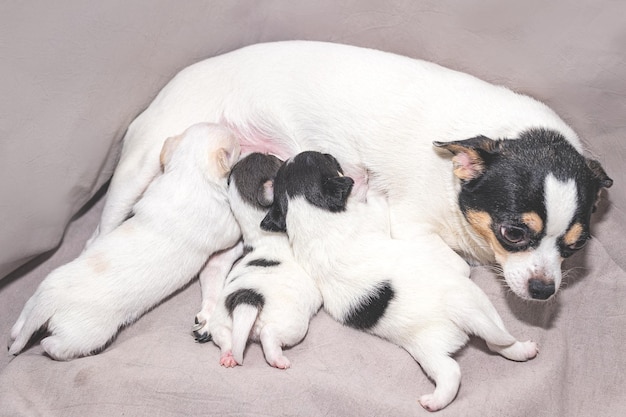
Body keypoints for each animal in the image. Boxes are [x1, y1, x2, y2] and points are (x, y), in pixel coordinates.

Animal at [7, 122, 241, 358]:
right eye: (235, 144)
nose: (240, 140)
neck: (187, 173)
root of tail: (49, 301)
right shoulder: (223, 225)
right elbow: (233, 230)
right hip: (87, 333)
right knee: (57, 346)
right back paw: (47, 346)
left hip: (40, 292)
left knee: (24, 318)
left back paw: (16, 334)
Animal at [194, 152, 322, 368]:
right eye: (276, 158)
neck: (260, 231)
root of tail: (248, 301)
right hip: (291, 324)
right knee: (270, 336)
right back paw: (279, 360)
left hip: (223, 322)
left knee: (225, 338)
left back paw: (227, 356)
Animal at [260, 151, 540, 412]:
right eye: (322, 158)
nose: (327, 152)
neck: (306, 209)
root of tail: (458, 310)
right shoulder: (371, 214)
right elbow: (374, 201)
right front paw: (369, 183)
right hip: (444, 332)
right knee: (457, 368)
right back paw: (435, 401)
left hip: (445, 332)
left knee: (497, 342)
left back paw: (522, 351)